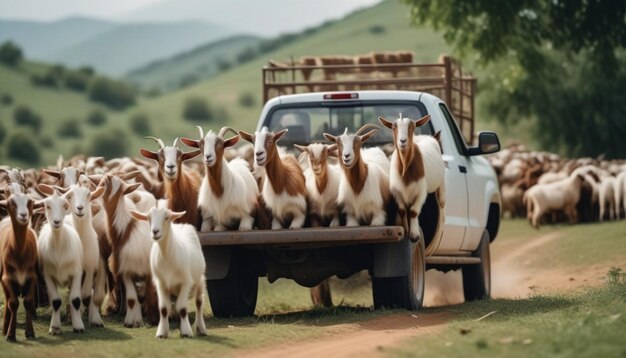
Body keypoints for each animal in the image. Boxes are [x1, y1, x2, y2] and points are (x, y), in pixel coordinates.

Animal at [376, 113, 444, 241]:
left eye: (412, 127)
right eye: (394, 127)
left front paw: (414, 234)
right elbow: (403, 210)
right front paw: (405, 230)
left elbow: (413, 211)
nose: (403, 141)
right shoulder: (397, 192)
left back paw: (442, 199)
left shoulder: (421, 192)